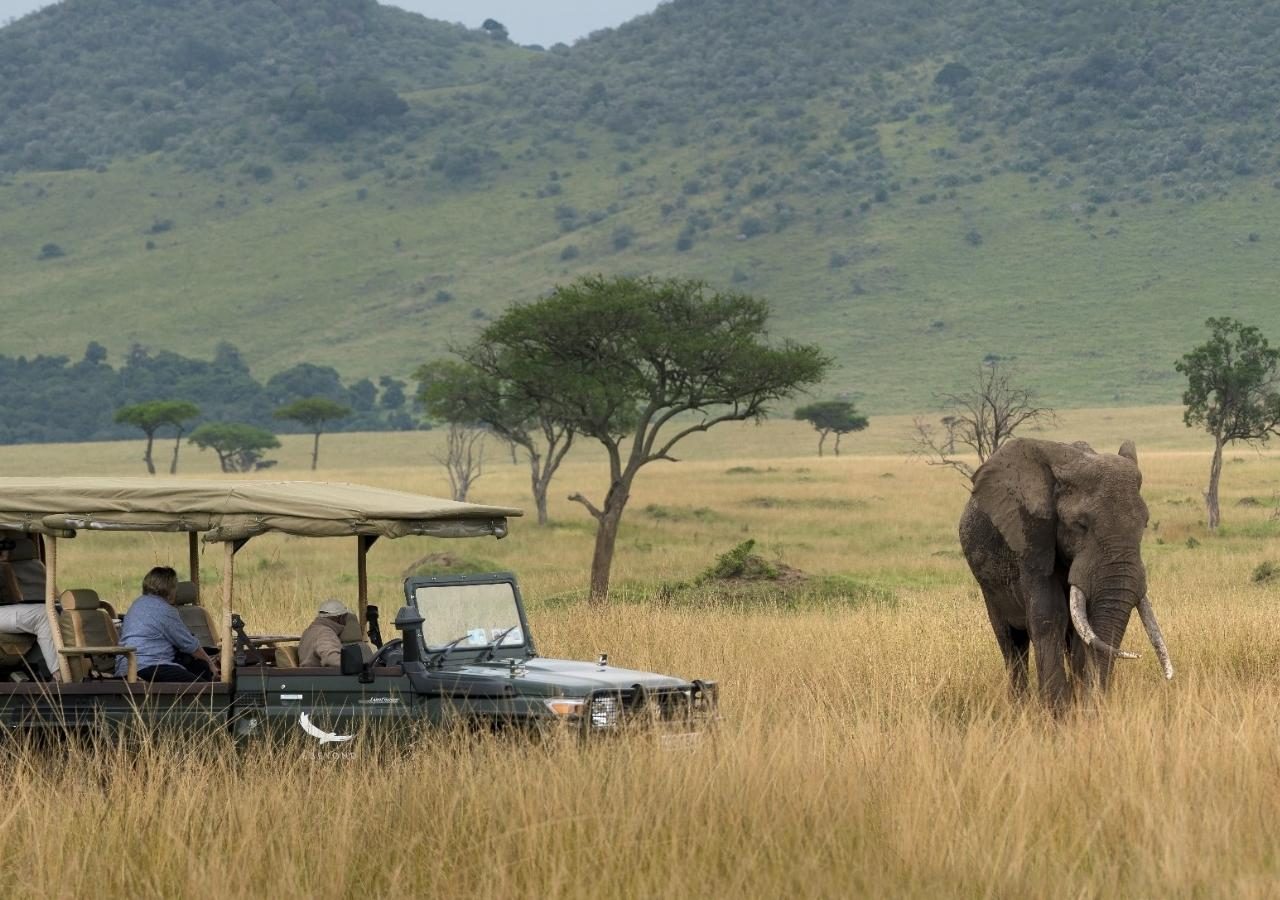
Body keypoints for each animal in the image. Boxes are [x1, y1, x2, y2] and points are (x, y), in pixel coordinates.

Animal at [957, 437, 1172, 711]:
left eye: (1144, 524)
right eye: (1080, 525)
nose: (1095, 705)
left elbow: (1084, 627)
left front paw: (1077, 706)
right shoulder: (1032, 539)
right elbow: (1049, 615)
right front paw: (1057, 712)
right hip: (988, 586)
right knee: (1011, 643)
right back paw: (1019, 707)